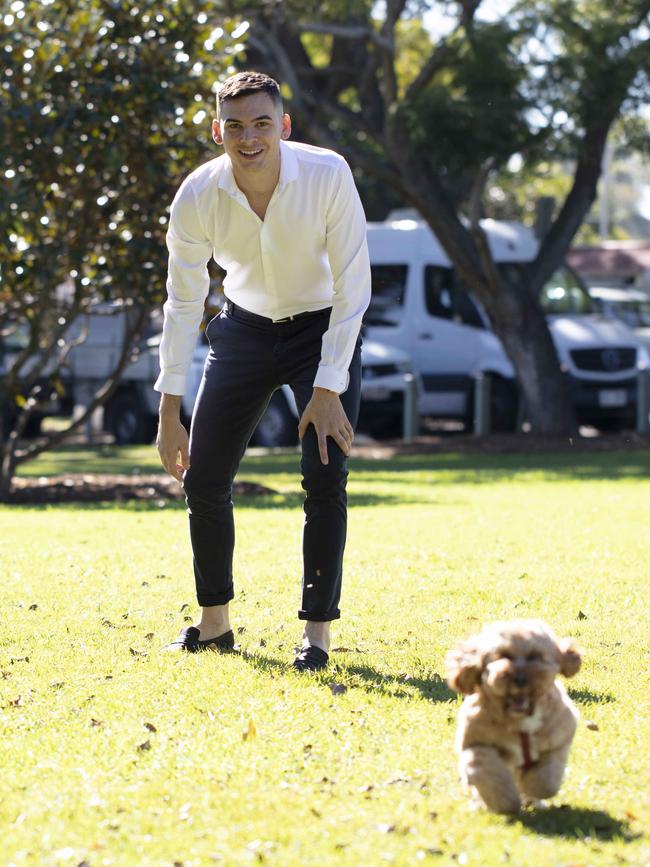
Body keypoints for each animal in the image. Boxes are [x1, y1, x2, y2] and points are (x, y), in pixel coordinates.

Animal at [442, 620, 580, 816]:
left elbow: (547, 776)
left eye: (534, 656)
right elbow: (491, 773)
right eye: (503, 656)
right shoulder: (477, 743)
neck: (520, 719)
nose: (520, 679)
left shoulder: (560, 737)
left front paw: (533, 787)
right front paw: (505, 803)